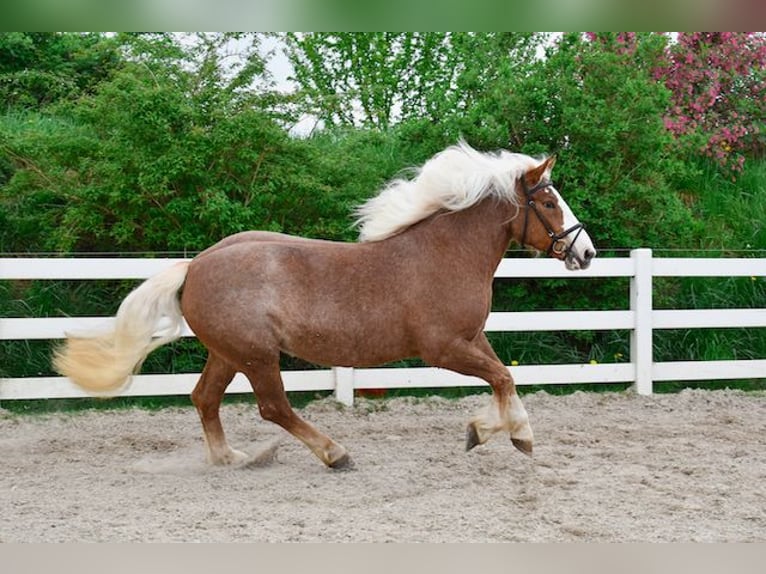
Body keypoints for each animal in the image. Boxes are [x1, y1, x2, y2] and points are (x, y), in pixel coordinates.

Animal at [52, 142, 600, 470]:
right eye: (549, 203)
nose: (586, 252)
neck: (445, 254)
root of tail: (196, 265)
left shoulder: (472, 338)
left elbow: (506, 378)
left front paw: (499, 433)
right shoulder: (443, 348)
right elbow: (504, 377)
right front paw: (503, 435)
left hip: (227, 353)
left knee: (204, 398)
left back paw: (230, 458)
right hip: (256, 356)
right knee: (274, 407)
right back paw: (335, 453)